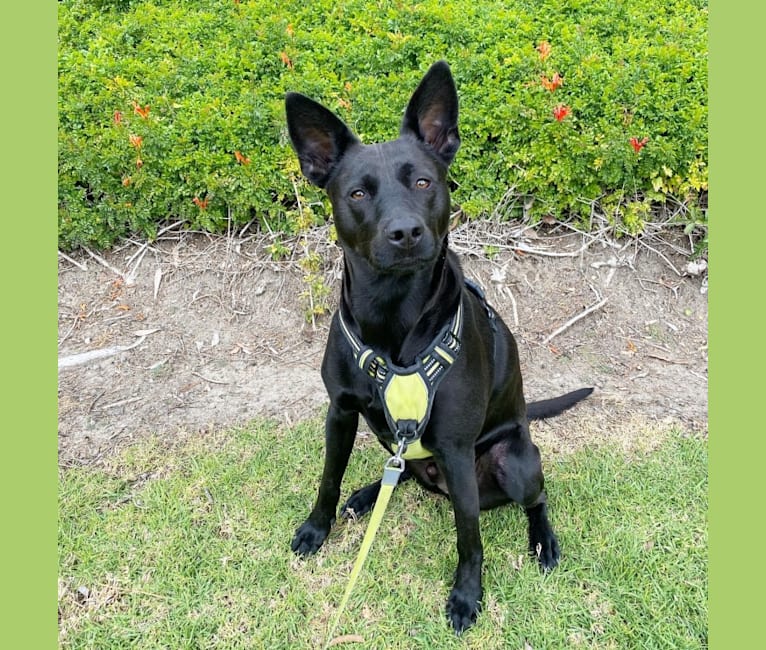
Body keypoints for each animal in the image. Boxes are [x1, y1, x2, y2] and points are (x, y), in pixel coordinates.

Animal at [288, 62, 592, 632]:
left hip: (511, 462)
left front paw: (467, 595)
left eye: (423, 182)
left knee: (536, 498)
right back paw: (367, 495)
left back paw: (544, 541)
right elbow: (327, 479)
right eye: (358, 194)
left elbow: (469, 538)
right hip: (400, 444)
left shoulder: (453, 446)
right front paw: (318, 528)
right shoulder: (340, 412)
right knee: (402, 471)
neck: (393, 316)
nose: (405, 232)